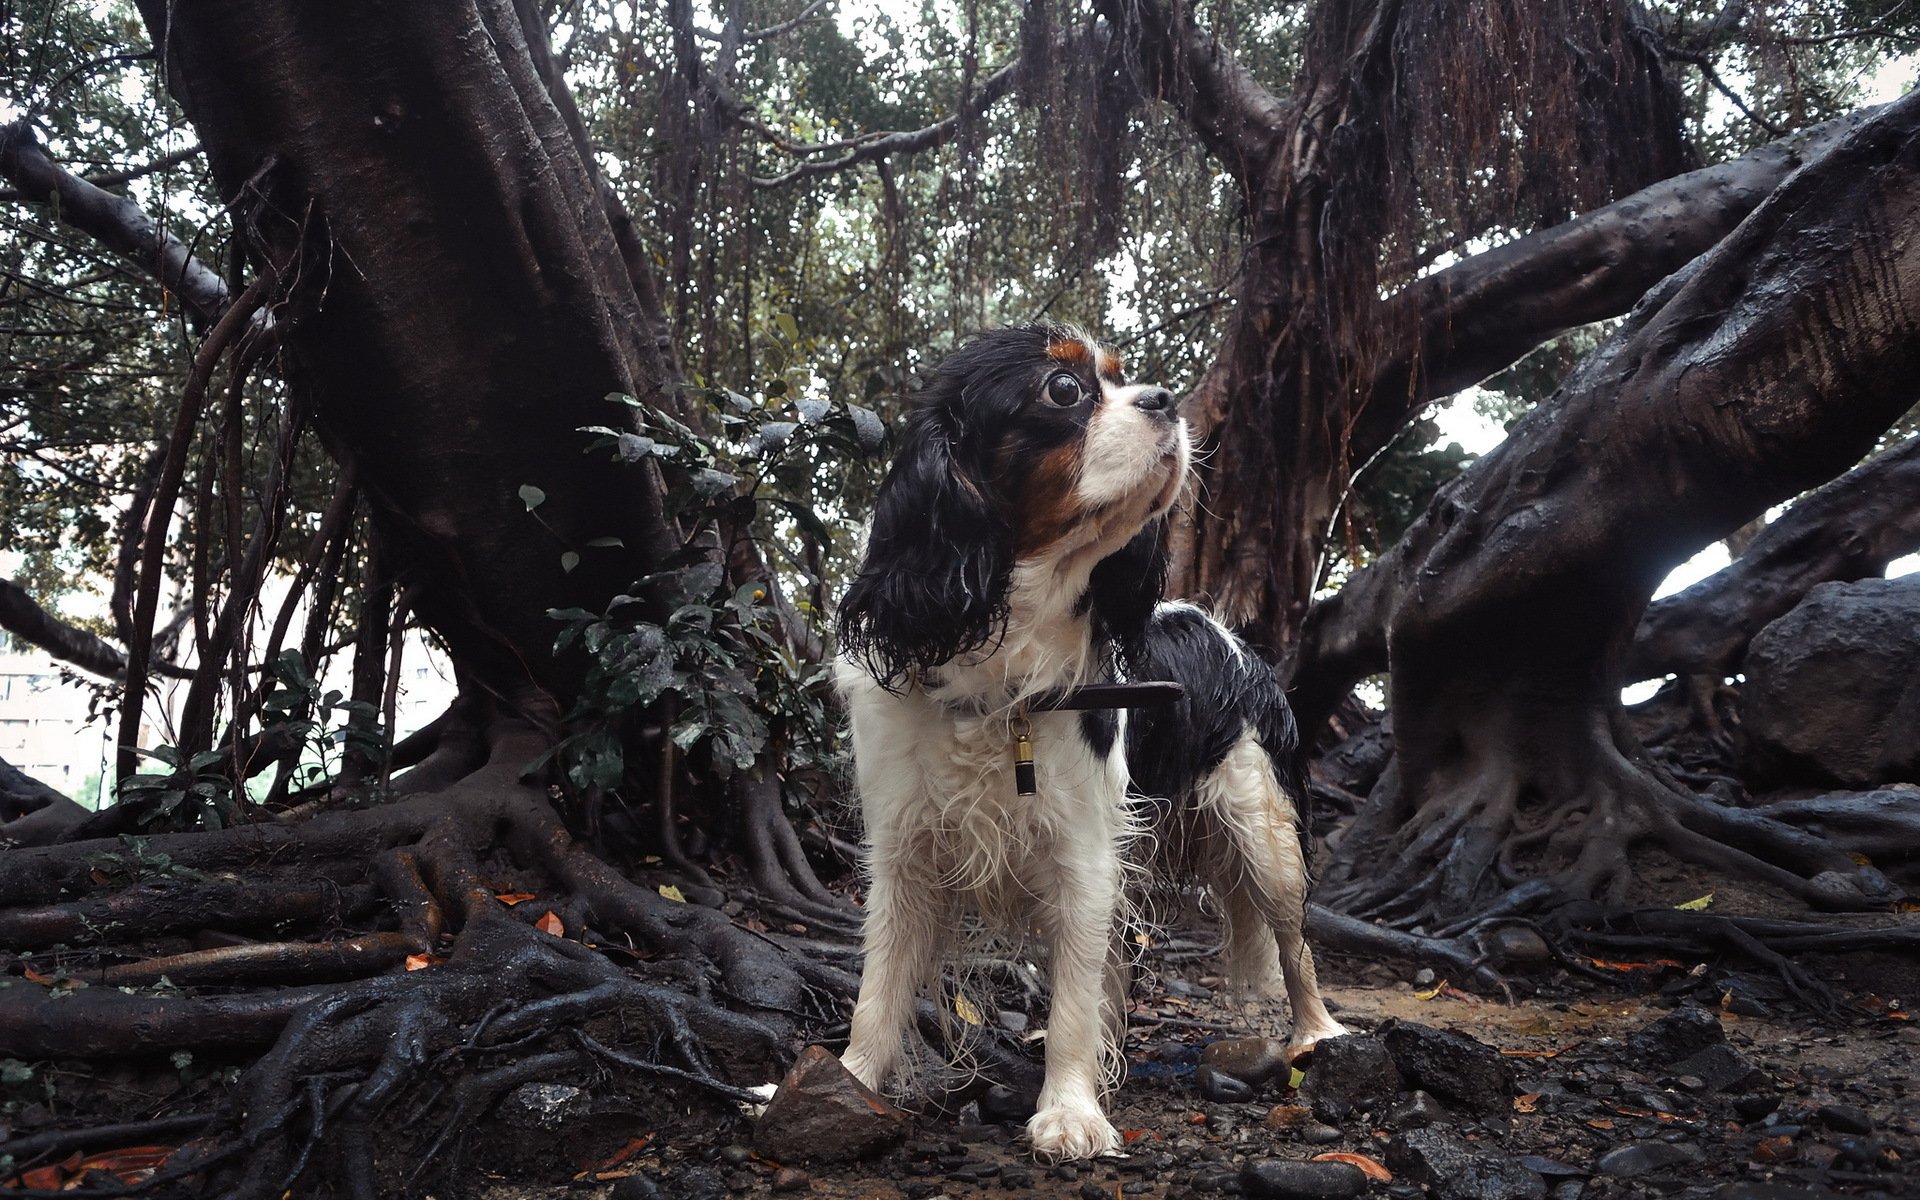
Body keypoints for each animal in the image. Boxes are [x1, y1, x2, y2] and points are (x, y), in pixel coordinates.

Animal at [833, 322, 1344, 1159]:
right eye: (1064, 389)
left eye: (1123, 376)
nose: (1167, 399)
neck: (999, 671)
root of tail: (1230, 636)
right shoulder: (904, 853)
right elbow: (878, 990)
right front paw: (842, 1084)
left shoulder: (1084, 854)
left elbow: (1074, 987)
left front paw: (1070, 1111)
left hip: (1262, 829)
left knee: (1292, 940)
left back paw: (1317, 1033)